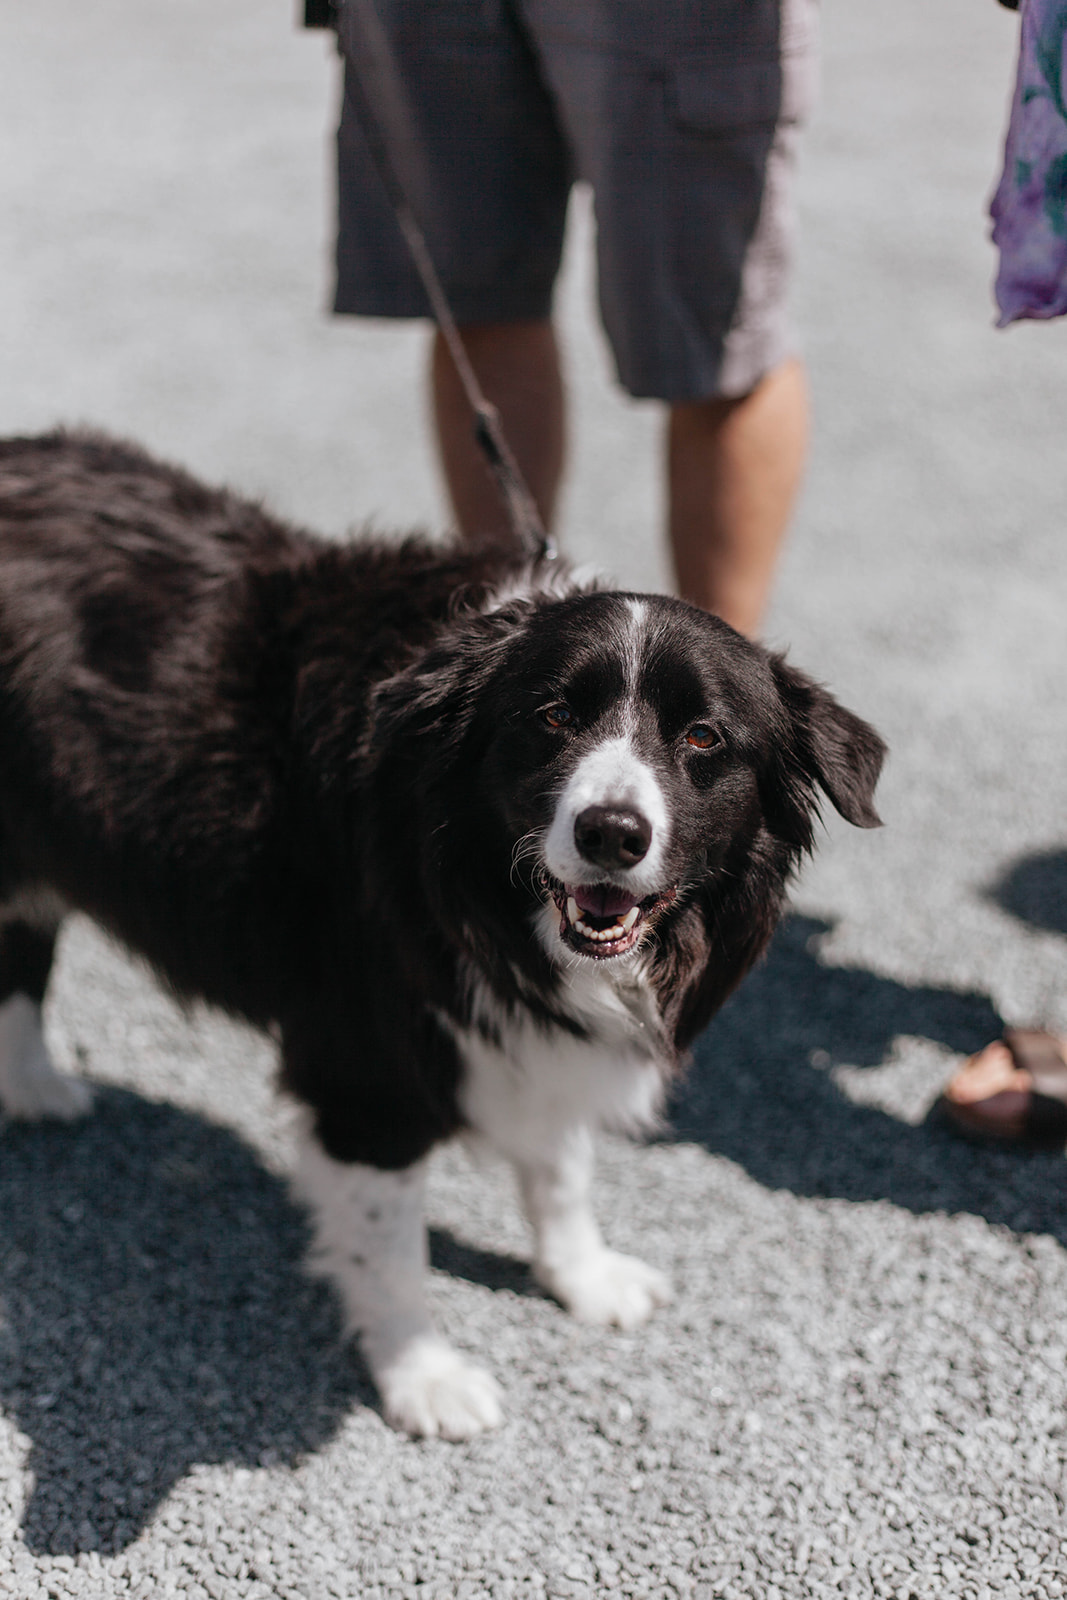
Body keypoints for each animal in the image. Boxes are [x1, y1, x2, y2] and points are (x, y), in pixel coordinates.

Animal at [0, 435, 883, 1440]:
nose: (611, 834)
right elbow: (390, 1250)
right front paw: (421, 1376)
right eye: (553, 717)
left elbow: (561, 1164)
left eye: (701, 737)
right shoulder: (363, 1069)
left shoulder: (545, 1031)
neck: (478, 883)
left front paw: (582, 1276)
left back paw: (31, 1088)